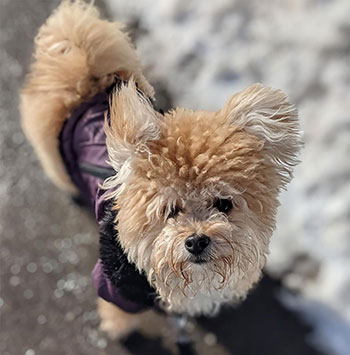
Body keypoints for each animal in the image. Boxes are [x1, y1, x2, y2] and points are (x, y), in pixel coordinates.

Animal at [20, 0, 302, 340]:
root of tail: (89, 80)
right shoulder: (115, 284)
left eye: (224, 204)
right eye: (170, 210)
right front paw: (119, 330)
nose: (196, 241)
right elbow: (117, 311)